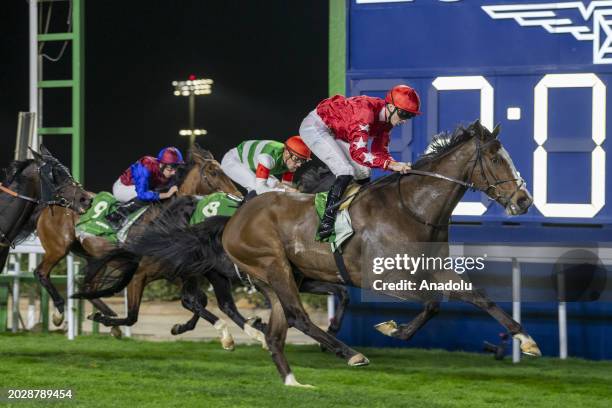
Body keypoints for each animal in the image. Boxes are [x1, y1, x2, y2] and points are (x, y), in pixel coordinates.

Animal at [32, 145, 239, 330]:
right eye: (214, 172)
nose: (237, 195)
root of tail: (54, 201)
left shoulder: (170, 272)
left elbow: (199, 299)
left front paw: (181, 327)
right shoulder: (140, 273)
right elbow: (133, 316)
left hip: (92, 256)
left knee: (88, 287)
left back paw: (104, 312)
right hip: (59, 247)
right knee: (41, 273)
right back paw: (59, 314)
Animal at [125, 120, 540, 386]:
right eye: (496, 158)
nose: (523, 200)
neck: (411, 207)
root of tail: (233, 219)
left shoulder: (436, 268)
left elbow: (478, 297)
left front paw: (525, 339)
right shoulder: (383, 277)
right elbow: (434, 303)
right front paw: (393, 328)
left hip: (277, 276)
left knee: (278, 323)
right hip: (271, 266)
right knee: (292, 315)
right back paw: (347, 352)